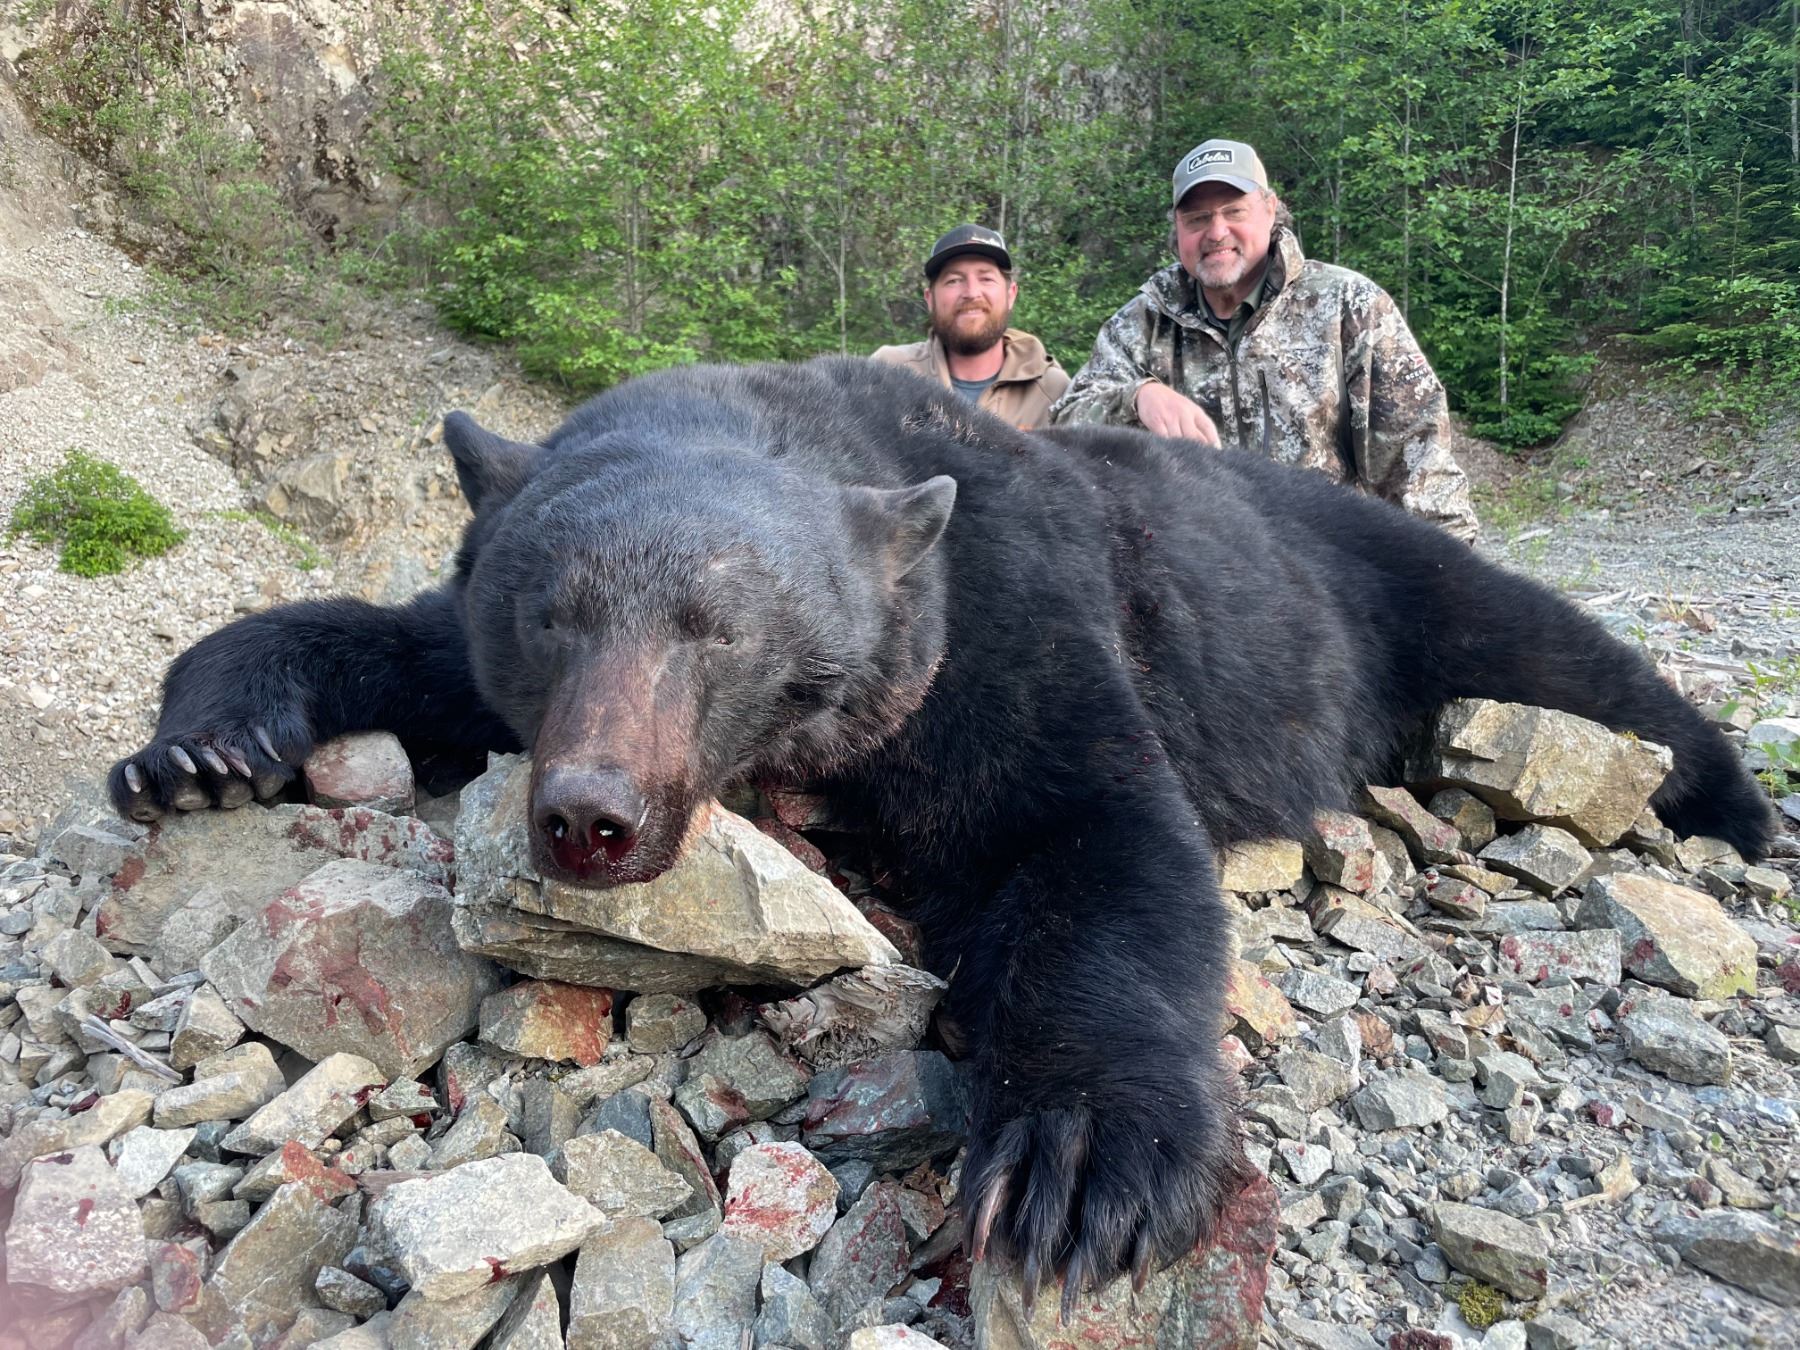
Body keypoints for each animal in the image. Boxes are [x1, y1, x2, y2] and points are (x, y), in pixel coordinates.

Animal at [110, 357, 1776, 1310]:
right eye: (551, 612)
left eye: (720, 627)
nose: (591, 812)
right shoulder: (489, 655)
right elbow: (379, 639)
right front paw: (197, 747)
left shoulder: (1002, 618)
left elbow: (1097, 841)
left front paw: (1081, 1159)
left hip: (1390, 579)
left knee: (1566, 660)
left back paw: (1735, 806)